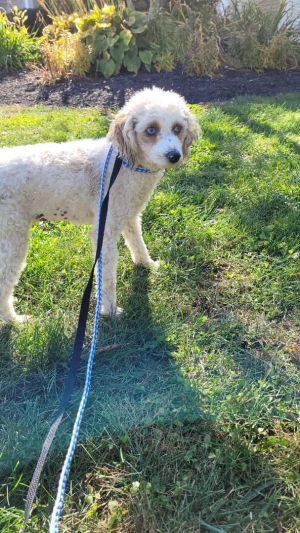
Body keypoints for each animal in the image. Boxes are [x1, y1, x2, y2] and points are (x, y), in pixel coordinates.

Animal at [0, 86, 202, 324]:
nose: (174, 156)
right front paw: (110, 310)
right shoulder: (104, 231)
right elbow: (106, 276)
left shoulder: (129, 216)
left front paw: (147, 264)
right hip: (12, 238)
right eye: (151, 130)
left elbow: (137, 243)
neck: (125, 163)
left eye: (177, 128)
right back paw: (13, 320)